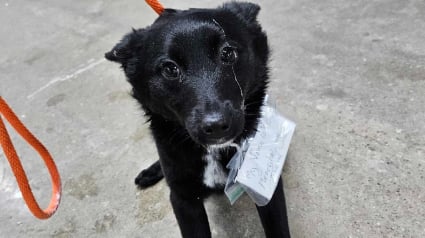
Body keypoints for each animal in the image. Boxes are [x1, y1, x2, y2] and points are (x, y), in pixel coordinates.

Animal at [105, 2, 290, 238]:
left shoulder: (265, 188)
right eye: (169, 68)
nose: (217, 126)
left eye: (227, 53)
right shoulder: (183, 199)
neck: (215, 151)